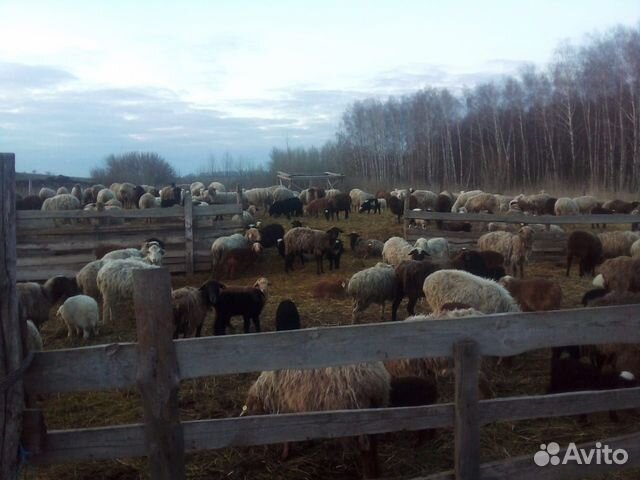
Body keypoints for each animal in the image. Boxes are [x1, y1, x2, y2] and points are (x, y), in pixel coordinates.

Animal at [243, 362, 389, 476]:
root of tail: (375, 379)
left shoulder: (286, 409)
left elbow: (287, 440)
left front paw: (284, 455)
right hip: (374, 415)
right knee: (373, 447)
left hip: (357, 416)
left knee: (366, 451)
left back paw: (368, 474)